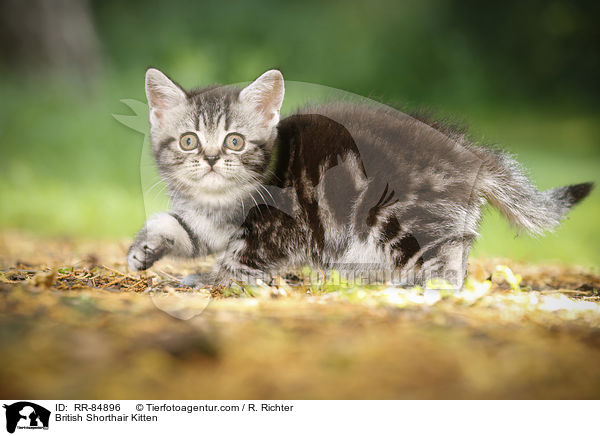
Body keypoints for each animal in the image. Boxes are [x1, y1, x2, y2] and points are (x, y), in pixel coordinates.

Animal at [129, 68, 592, 290]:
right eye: (189, 140)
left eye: (235, 141)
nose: (210, 159)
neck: (219, 199)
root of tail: (470, 153)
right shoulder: (207, 220)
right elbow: (177, 225)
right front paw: (143, 248)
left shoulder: (277, 224)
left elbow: (240, 256)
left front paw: (213, 280)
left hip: (403, 213)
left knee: (445, 257)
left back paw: (425, 288)